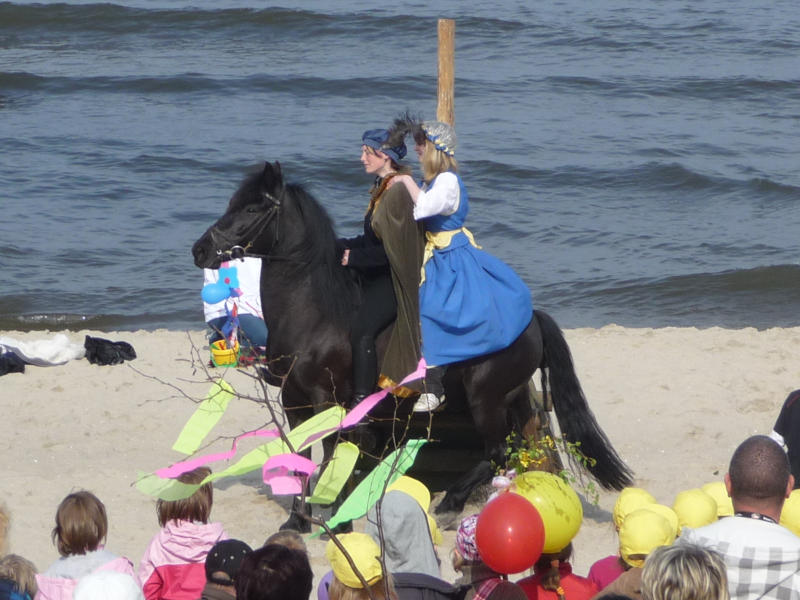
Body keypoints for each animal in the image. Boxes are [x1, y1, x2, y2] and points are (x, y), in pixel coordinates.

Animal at [192, 161, 632, 528]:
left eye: (252, 210)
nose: (200, 249)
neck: (313, 309)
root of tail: (531, 317)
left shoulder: (326, 399)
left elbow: (331, 452)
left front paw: (334, 514)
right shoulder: (293, 400)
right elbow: (301, 455)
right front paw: (298, 520)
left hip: (486, 399)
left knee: (496, 451)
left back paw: (451, 504)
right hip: (511, 398)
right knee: (519, 446)